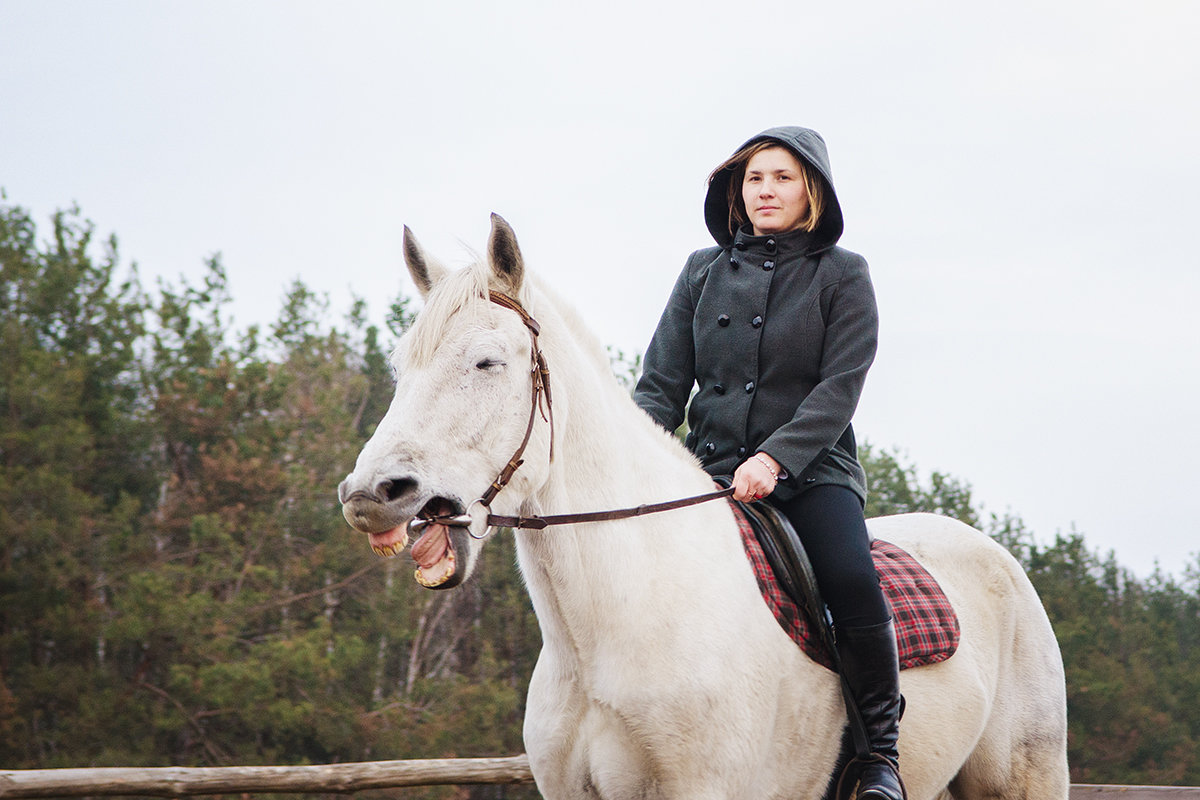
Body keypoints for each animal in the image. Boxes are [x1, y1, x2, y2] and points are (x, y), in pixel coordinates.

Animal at [338, 215, 1070, 800]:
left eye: (488, 362)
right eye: (402, 368)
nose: (371, 495)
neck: (613, 631)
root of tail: (996, 556)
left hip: (1024, 777)